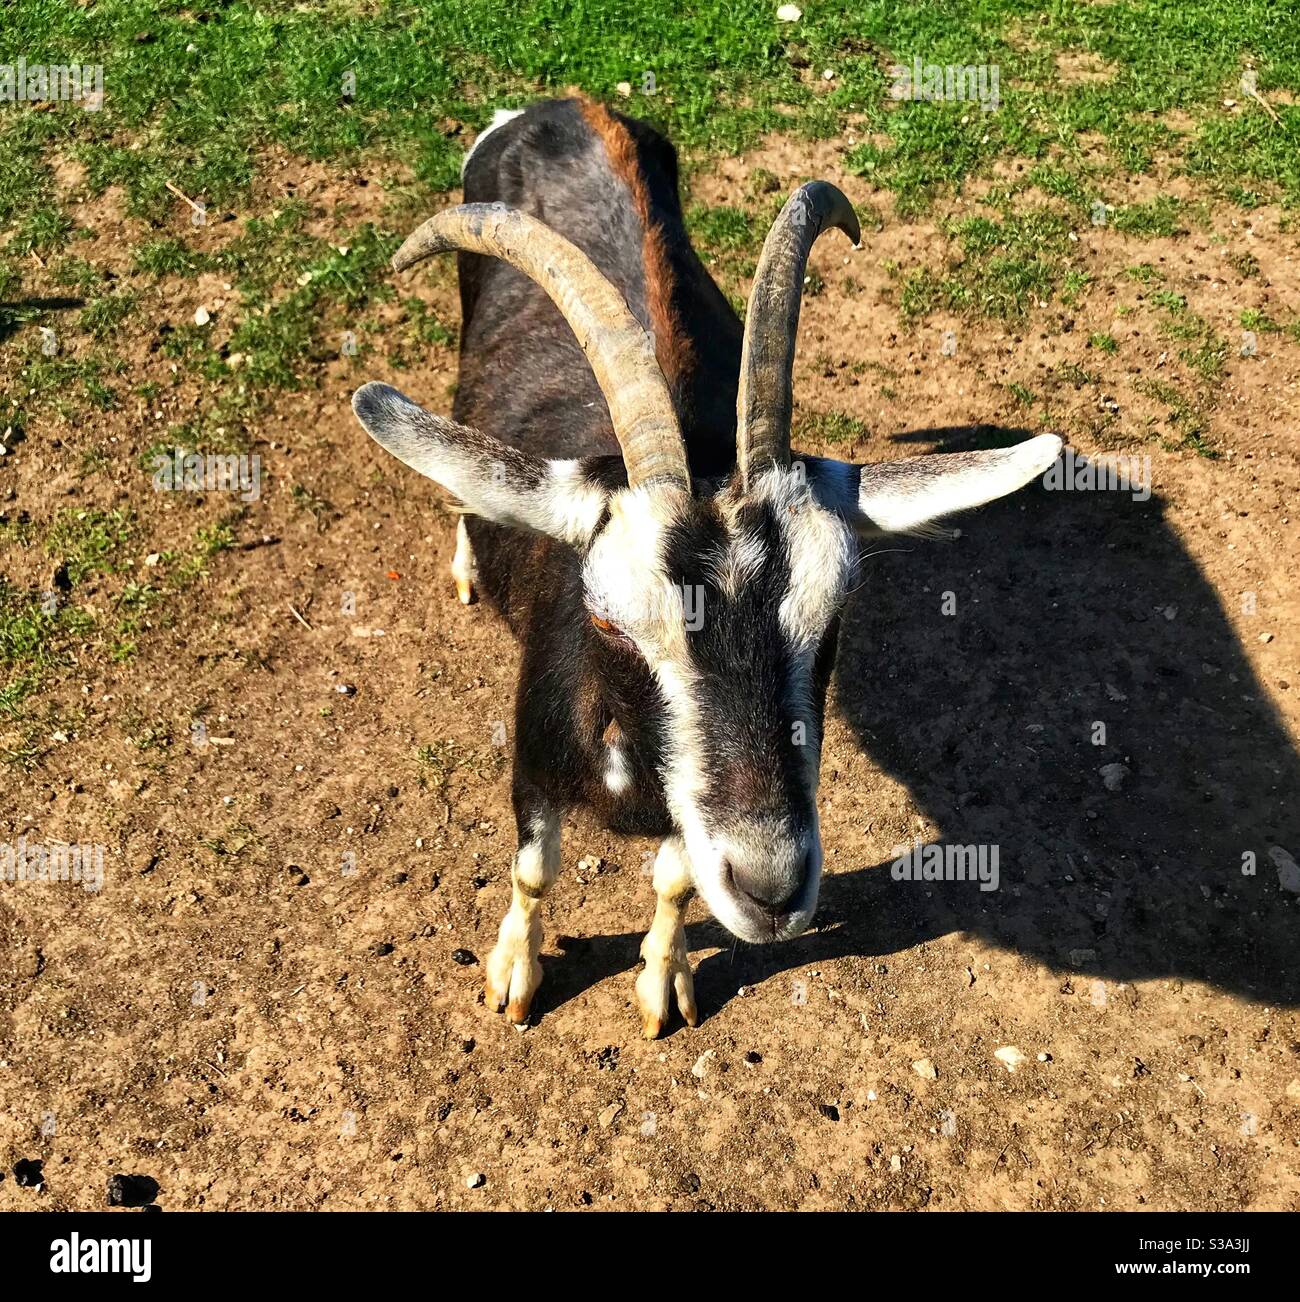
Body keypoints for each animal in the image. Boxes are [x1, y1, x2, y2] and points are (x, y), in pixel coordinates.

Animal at [352, 97, 1060, 1037]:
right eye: (607, 619)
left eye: (835, 613)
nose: (771, 887)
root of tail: (564, 105)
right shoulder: (533, 757)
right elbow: (533, 869)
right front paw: (515, 975)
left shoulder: (689, 818)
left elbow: (676, 878)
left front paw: (663, 983)